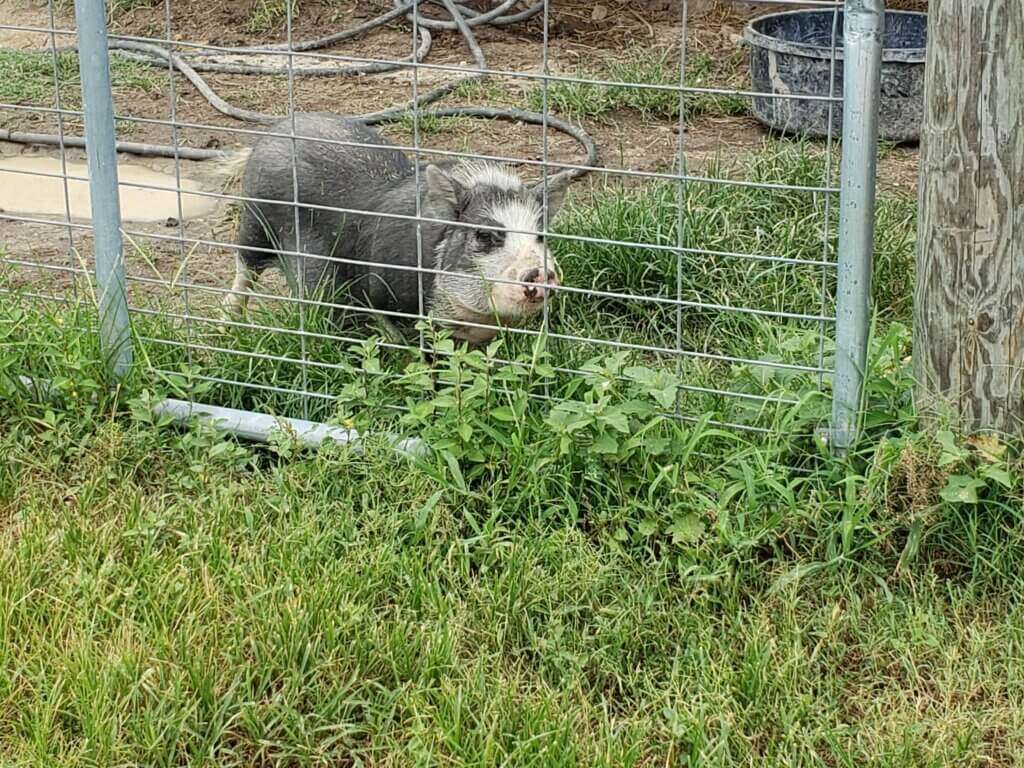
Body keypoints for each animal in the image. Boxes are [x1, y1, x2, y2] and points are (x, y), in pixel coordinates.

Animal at [223, 112, 569, 346]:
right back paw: (227, 322)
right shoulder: (380, 290)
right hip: (256, 220)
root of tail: (277, 129)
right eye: (484, 235)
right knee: (244, 267)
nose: (540, 271)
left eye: (541, 235)